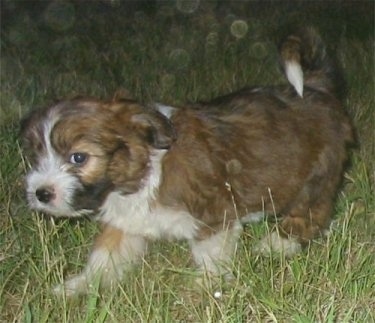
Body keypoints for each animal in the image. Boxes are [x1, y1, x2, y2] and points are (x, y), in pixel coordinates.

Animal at [20, 29, 354, 298]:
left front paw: (205, 287)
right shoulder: (126, 221)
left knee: (310, 214)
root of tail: (315, 87)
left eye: (78, 157)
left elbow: (209, 254)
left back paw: (277, 244)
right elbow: (105, 257)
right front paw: (78, 287)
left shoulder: (214, 213)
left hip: (316, 174)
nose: (41, 193)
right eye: (36, 156)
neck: (143, 171)